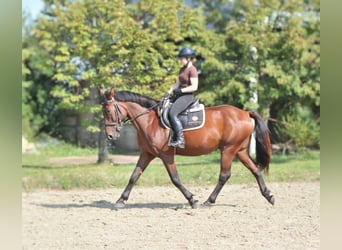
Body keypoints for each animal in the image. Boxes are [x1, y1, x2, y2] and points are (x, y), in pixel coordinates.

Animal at [99, 88, 276, 209]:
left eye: (108, 110)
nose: (110, 136)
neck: (150, 121)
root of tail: (245, 113)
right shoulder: (147, 154)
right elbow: (134, 176)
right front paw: (121, 199)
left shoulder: (166, 155)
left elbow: (175, 179)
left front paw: (192, 199)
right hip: (240, 151)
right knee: (255, 170)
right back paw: (268, 196)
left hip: (228, 150)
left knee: (224, 175)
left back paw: (208, 201)